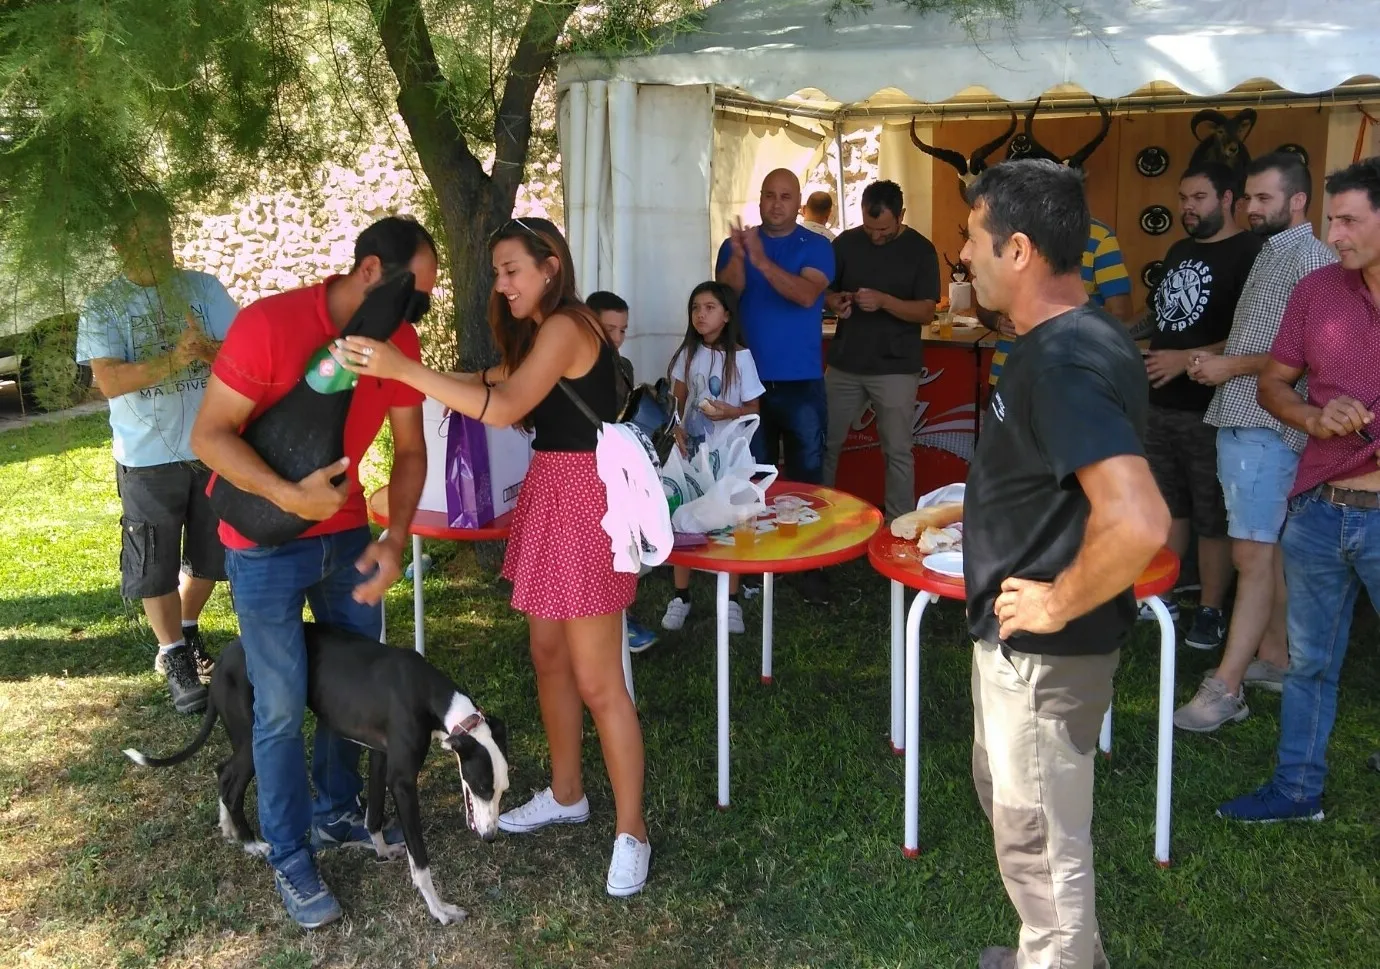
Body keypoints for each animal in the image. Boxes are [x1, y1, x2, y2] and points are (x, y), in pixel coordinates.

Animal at [123, 621, 509, 925]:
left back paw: (228, 827)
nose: (491, 838)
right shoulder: (403, 782)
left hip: (241, 739)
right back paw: (252, 843)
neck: (426, 693)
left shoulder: (380, 756)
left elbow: (374, 814)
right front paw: (440, 909)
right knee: (232, 784)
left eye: (502, 789)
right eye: (481, 786)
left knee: (222, 772)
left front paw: (381, 849)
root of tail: (223, 660)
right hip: (256, 738)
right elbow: (421, 861)